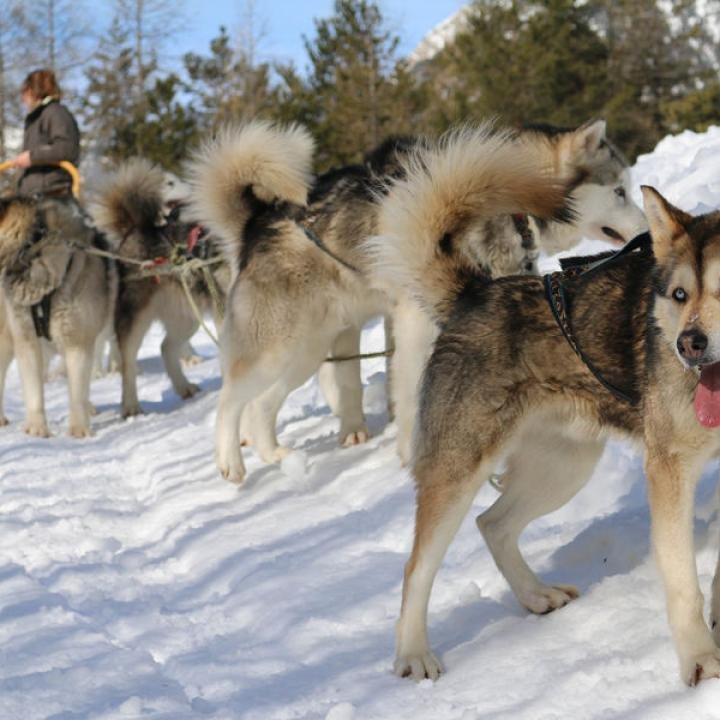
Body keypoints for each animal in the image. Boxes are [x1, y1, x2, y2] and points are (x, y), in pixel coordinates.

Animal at [372, 169, 720, 688]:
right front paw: (701, 662)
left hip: (563, 469)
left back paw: (536, 596)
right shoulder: (670, 472)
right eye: (680, 295)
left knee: (492, 524)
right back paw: (414, 654)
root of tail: (475, 293)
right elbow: (683, 583)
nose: (688, 345)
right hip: (459, 473)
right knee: (417, 569)